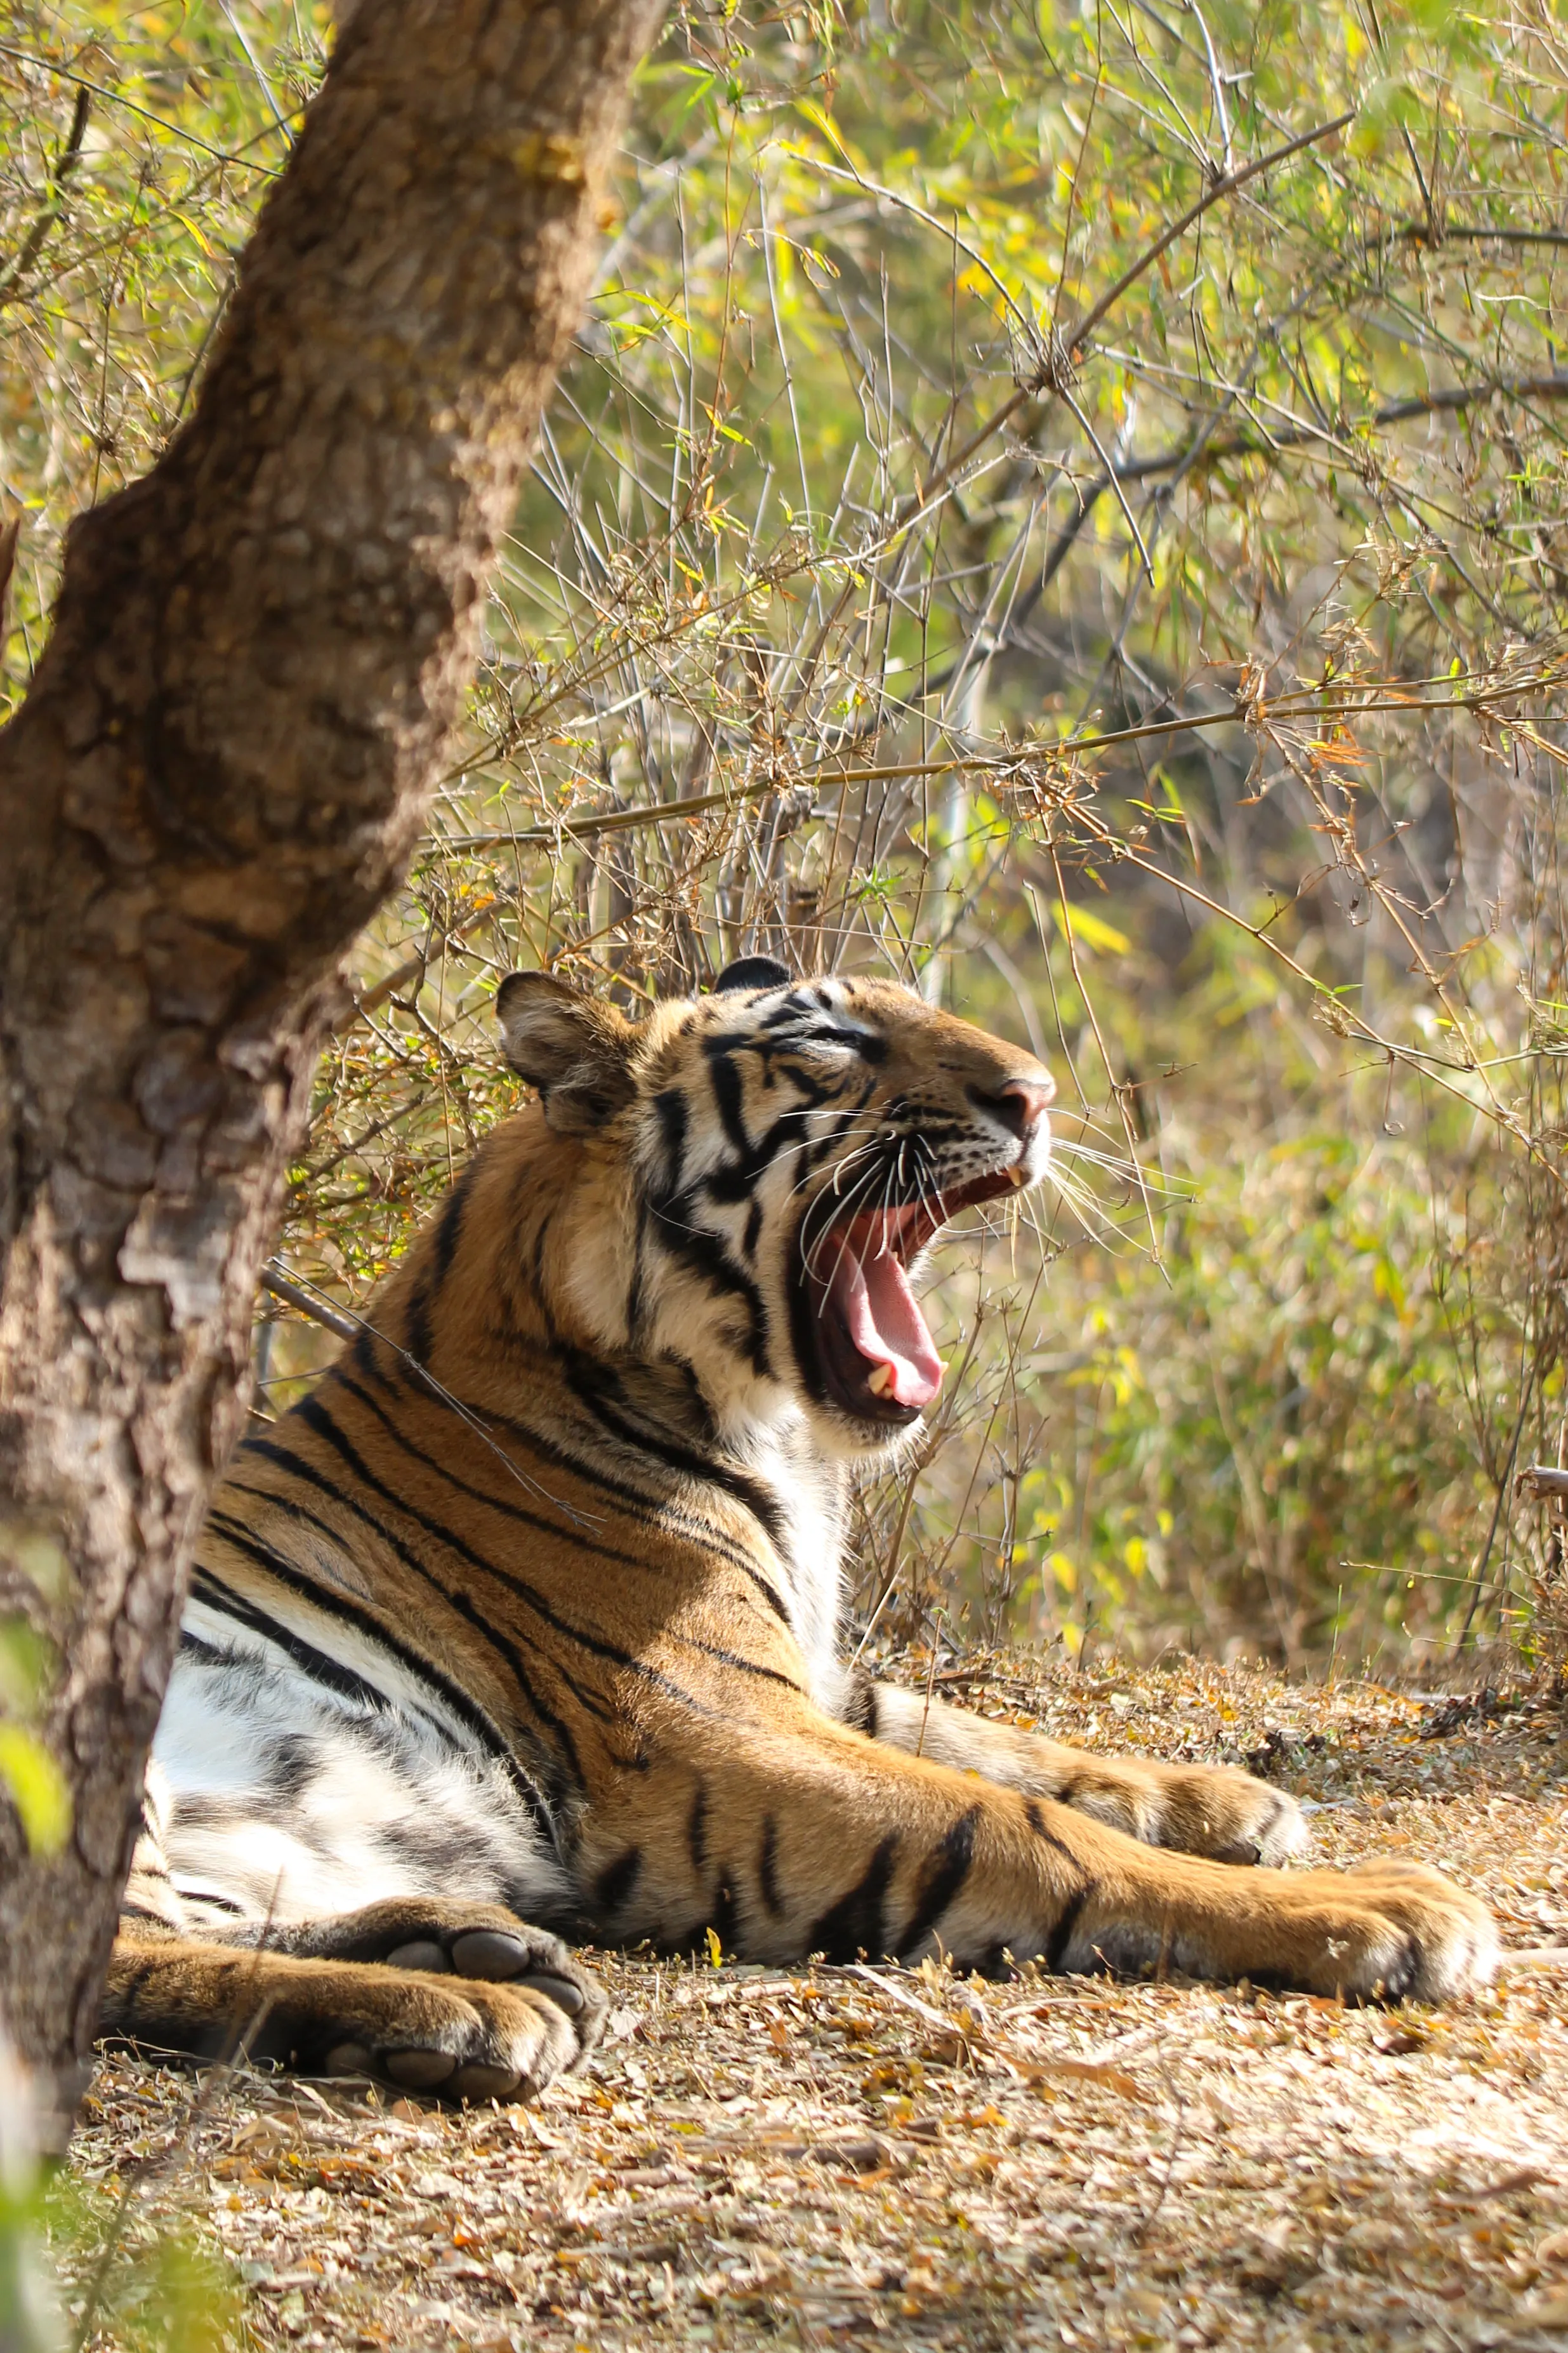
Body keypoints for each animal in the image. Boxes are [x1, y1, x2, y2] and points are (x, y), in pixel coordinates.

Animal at [105, 956, 1497, 2105]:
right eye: (830, 1042)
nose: (1038, 1094)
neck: (772, 1433)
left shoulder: (806, 1672)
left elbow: (997, 1738)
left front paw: (1234, 1797)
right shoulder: (709, 1726)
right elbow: (1014, 1822)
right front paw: (1380, 1905)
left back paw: (469, 1946)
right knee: (125, 1954)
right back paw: (459, 2005)